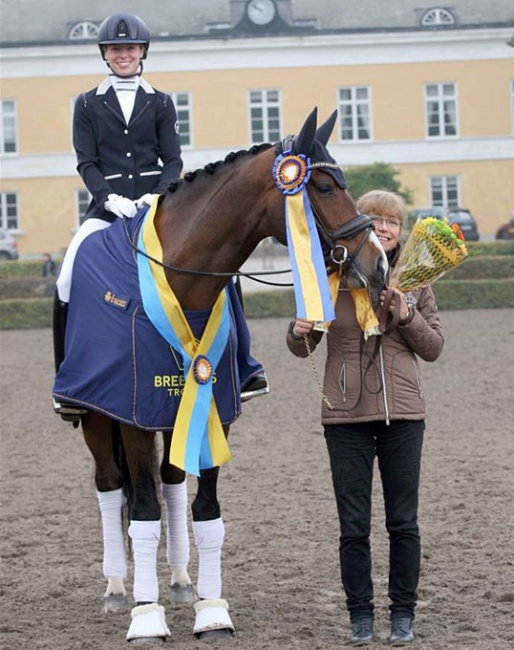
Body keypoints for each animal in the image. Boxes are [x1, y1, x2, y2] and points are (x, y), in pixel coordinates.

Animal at [54, 109, 386, 640]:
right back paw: (117, 589)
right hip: (94, 416)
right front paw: (145, 616)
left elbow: (205, 512)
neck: (181, 281)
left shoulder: (216, 408)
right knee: (109, 487)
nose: (378, 264)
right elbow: (142, 512)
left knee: (170, 483)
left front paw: (211, 610)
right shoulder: (130, 415)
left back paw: (180, 580)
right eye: (324, 187)